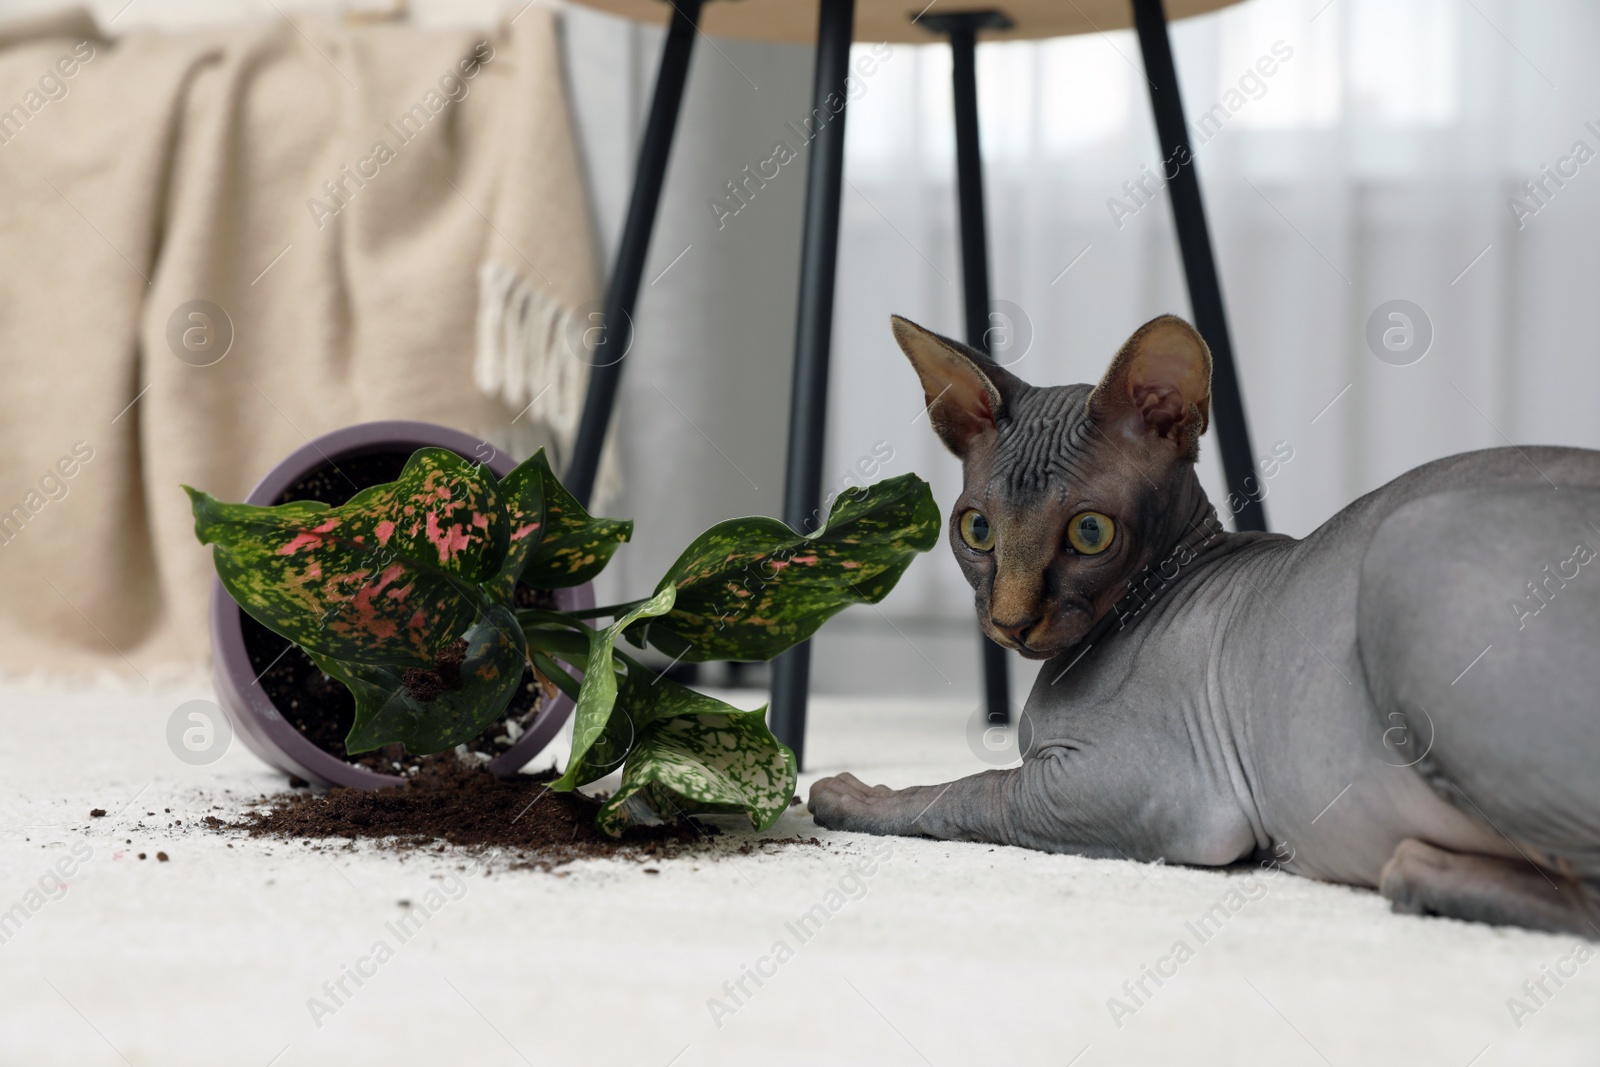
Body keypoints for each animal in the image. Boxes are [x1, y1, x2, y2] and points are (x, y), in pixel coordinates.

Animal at [812, 315, 1600, 934]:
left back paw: (1417, 869)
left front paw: (849, 795)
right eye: (976, 528)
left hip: (1409, 541)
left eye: (1091, 533)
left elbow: (968, 788)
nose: (1012, 620)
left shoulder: (1154, 793)